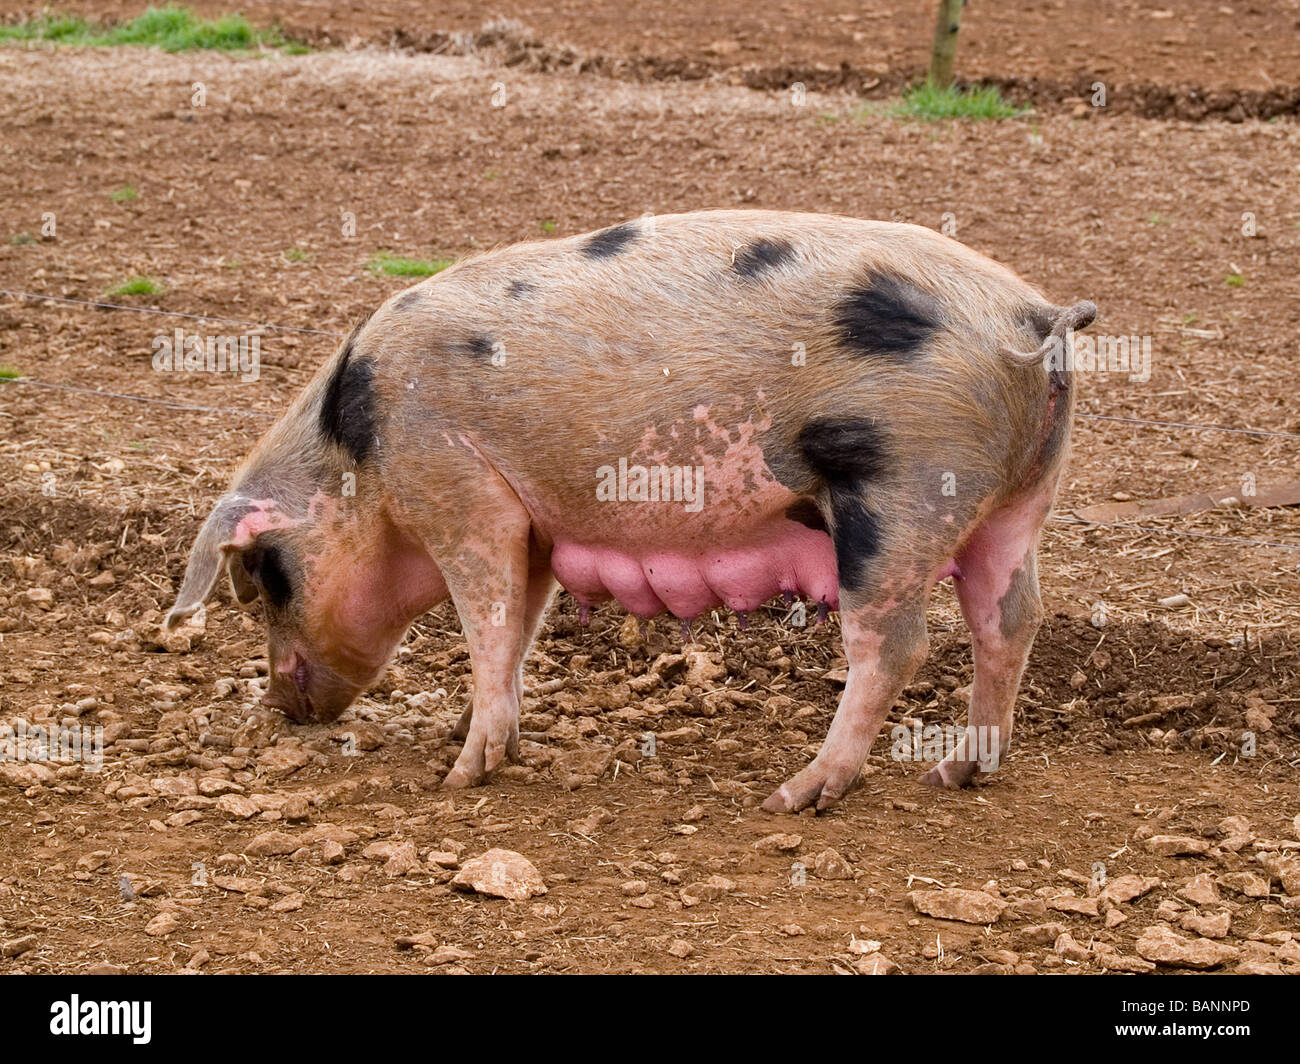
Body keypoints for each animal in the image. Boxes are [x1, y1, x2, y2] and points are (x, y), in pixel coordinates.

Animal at [164, 209, 1096, 812]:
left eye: (265, 580)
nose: (281, 706)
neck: (360, 446)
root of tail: (1034, 314)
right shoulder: (533, 526)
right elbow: (518, 629)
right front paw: (482, 738)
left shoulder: (456, 488)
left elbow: (486, 618)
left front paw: (459, 777)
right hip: (1020, 503)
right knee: (1011, 620)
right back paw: (960, 774)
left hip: (899, 493)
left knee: (899, 644)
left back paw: (793, 798)